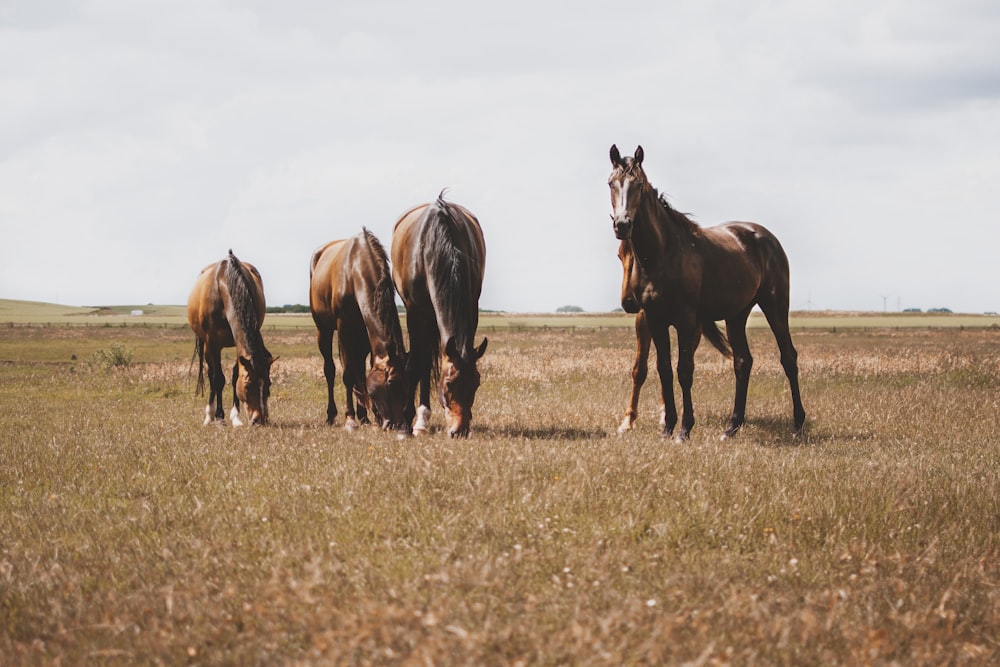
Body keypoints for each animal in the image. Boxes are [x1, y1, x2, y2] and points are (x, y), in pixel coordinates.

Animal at [186, 250, 274, 428]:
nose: (259, 419)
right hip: (206, 346)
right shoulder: (213, 343)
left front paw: (235, 417)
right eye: (248, 385)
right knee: (211, 375)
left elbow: (234, 376)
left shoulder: (237, 342)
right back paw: (211, 415)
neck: (224, 285)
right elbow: (218, 378)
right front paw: (218, 416)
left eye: (269, 384)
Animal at [310, 227, 408, 430]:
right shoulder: (344, 328)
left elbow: (364, 370)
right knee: (330, 369)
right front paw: (350, 418)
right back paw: (332, 416)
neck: (354, 271)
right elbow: (347, 373)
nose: (397, 425)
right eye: (391, 382)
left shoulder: (365, 333)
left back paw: (363, 415)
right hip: (324, 330)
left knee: (359, 370)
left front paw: (373, 416)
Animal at [390, 193, 488, 438]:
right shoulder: (416, 311)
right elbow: (415, 364)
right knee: (424, 360)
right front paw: (405, 424)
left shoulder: (471, 306)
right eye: (449, 383)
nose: (459, 430)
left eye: (476, 383)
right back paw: (419, 421)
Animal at [608, 144, 804, 440]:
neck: (665, 253)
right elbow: (664, 370)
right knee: (743, 362)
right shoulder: (655, 319)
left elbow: (684, 370)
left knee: (788, 357)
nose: (622, 224)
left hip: (776, 308)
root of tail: (765, 237)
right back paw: (732, 427)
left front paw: (684, 429)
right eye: (611, 183)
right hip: (737, 316)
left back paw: (798, 423)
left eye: (638, 184)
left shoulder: (687, 320)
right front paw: (668, 427)